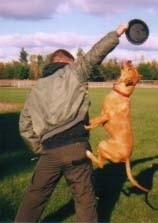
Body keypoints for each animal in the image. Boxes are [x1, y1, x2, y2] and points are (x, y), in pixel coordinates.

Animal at [85, 60, 148, 193]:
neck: (122, 93)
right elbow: (93, 121)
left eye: (130, 69)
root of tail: (127, 158)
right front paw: (88, 122)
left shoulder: (105, 116)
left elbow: (94, 125)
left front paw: (86, 127)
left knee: (100, 164)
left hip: (103, 144)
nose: (129, 60)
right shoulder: (101, 114)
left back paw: (88, 153)